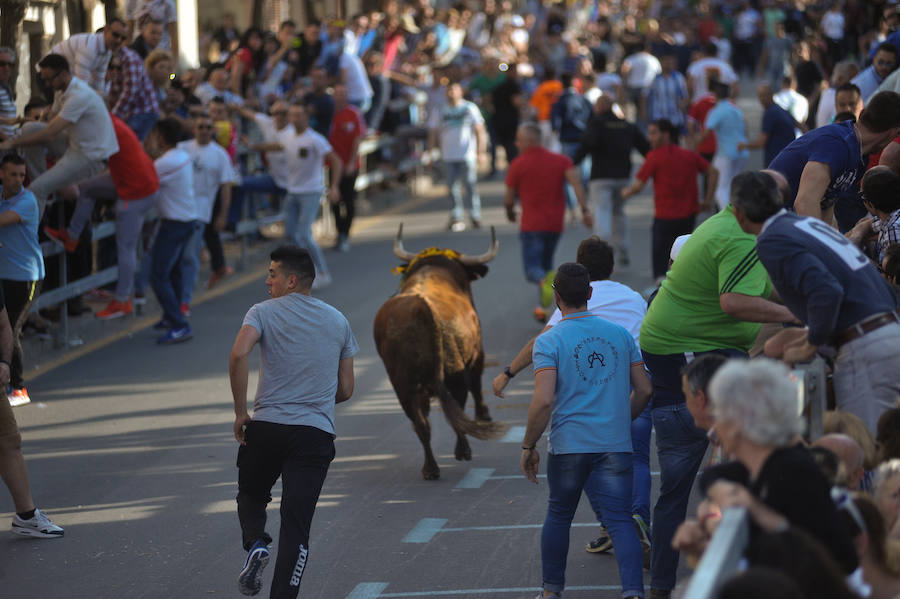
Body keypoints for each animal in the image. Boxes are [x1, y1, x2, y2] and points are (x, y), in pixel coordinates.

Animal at [372, 223, 506, 480]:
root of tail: (421, 307)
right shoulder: (477, 353)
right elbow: (476, 386)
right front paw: (483, 415)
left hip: (403, 386)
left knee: (421, 424)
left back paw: (430, 468)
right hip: (454, 371)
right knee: (458, 406)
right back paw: (461, 451)